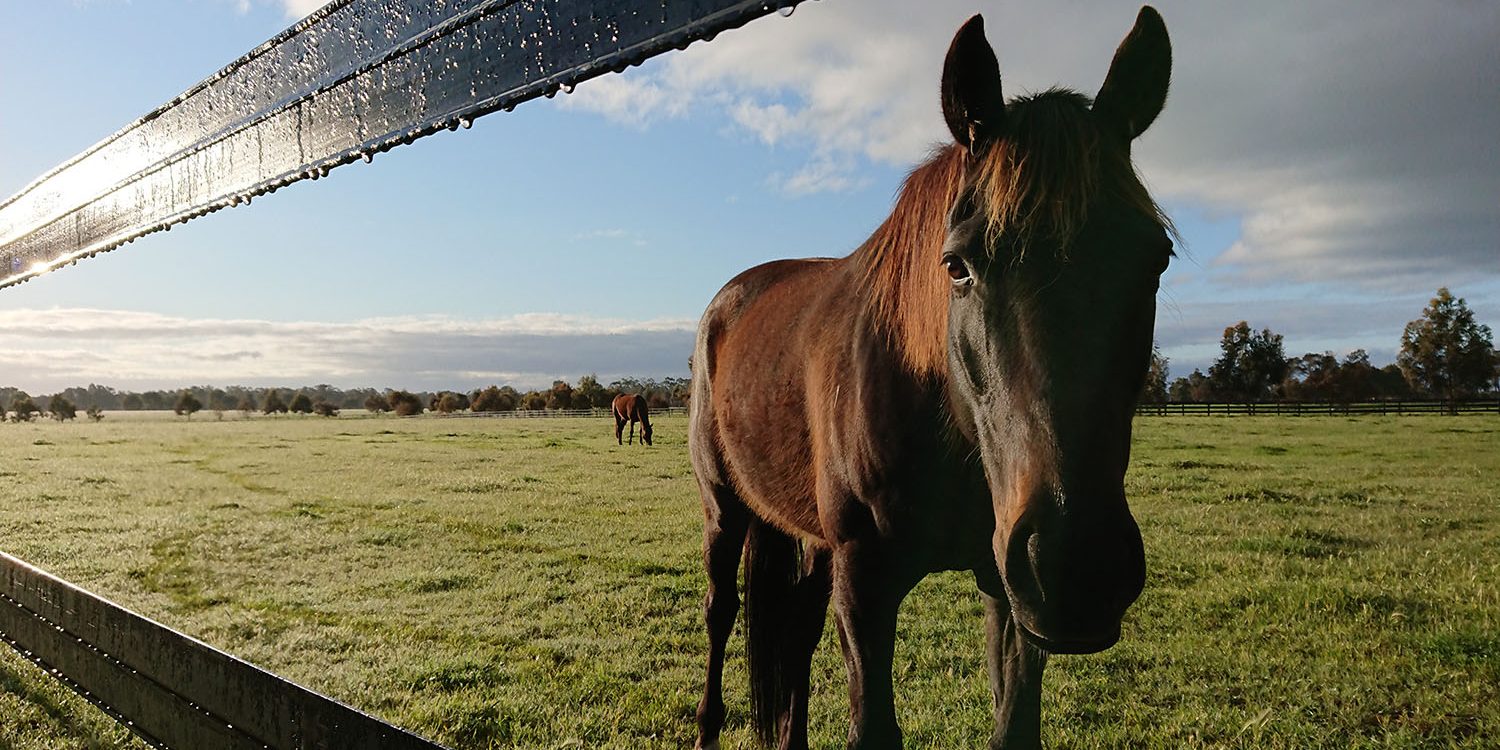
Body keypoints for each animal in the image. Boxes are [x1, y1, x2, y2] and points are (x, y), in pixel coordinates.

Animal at [688, 8, 1173, 749]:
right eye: (958, 266)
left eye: (1155, 259)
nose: (1078, 565)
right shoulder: (865, 583)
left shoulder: (1009, 587)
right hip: (725, 508)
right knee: (721, 612)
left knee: (795, 632)